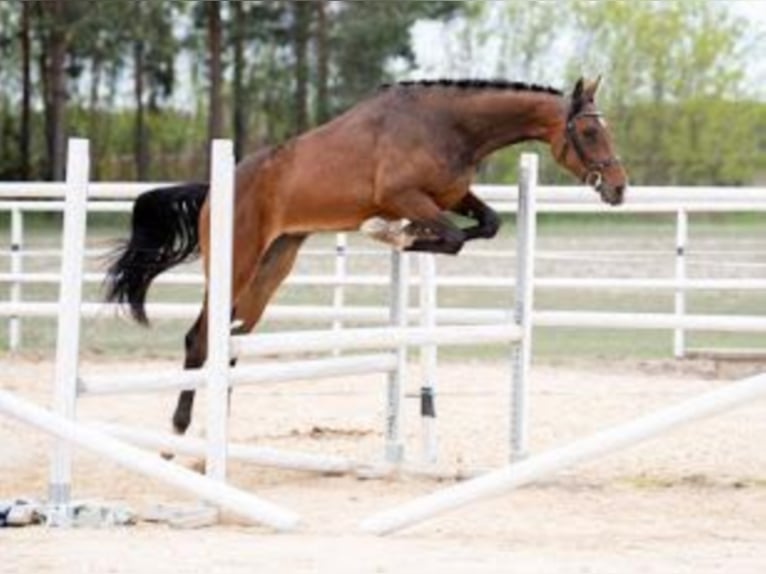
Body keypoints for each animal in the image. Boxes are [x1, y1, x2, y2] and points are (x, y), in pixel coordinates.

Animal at [103, 76, 632, 440]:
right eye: (589, 131)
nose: (619, 188)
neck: (450, 125)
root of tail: (216, 189)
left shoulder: (451, 196)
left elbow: (486, 225)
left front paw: (401, 234)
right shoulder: (406, 195)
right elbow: (451, 237)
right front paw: (388, 233)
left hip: (271, 267)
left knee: (230, 341)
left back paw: (214, 433)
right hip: (236, 262)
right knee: (200, 339)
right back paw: (179, 430)